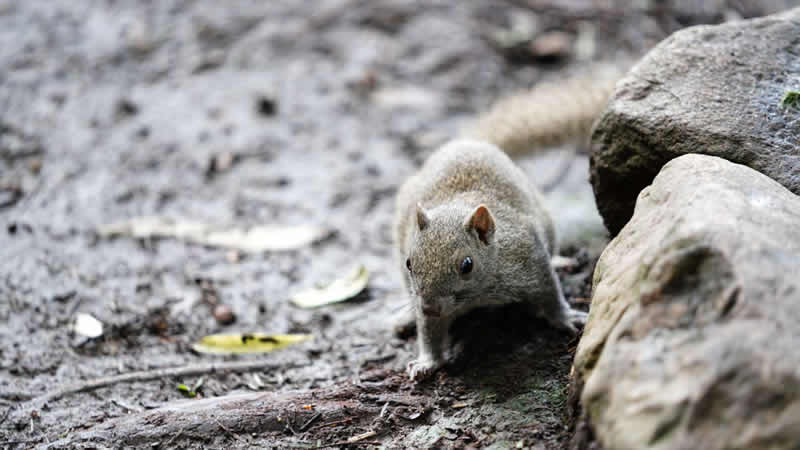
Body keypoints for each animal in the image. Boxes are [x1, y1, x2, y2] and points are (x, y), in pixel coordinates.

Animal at [390, 67, 620, 380]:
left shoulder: (529, 257)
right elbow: (429, 333)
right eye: (409, 263)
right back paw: (405, 316)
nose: (429, 307)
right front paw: (427, 361)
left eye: (467, 265)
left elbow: (550, 293)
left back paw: (561, 260)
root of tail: (470, 142)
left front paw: (566, 317)